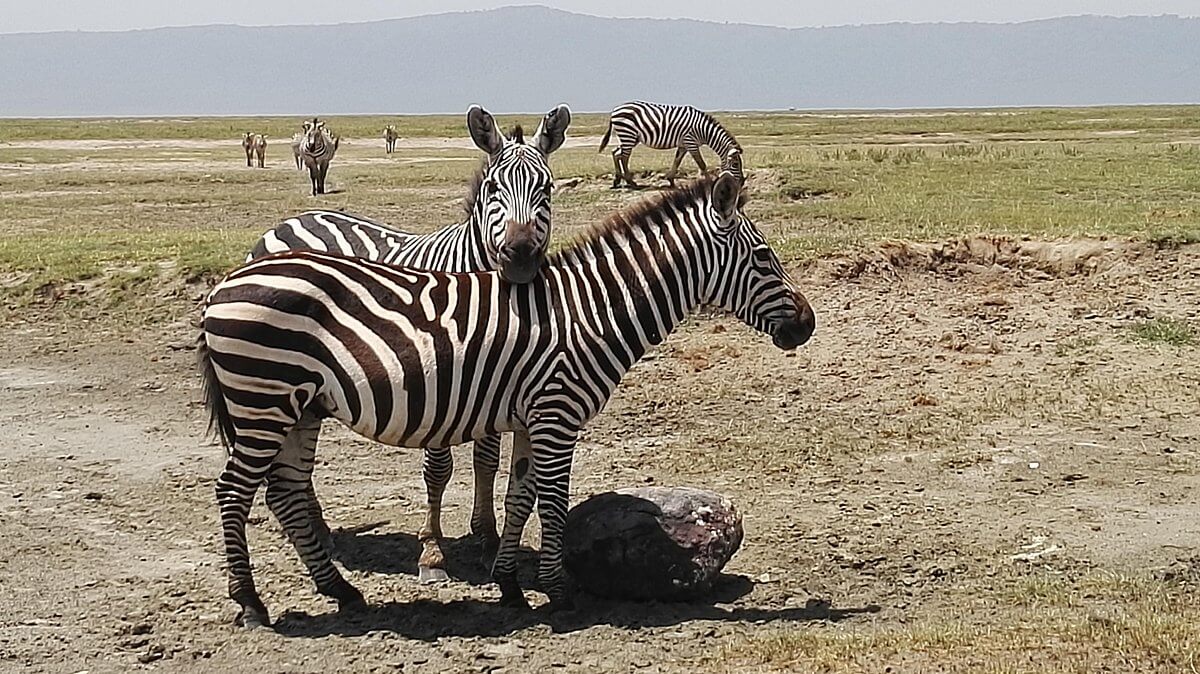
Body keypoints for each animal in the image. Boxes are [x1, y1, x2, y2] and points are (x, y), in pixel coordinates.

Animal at [198, 172, 815, 626]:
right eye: (764, 257)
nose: (807, 325)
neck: (588, 312)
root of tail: (230, 279)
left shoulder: (528, 419)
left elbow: (520, 498)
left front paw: (511, 585)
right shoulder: (558, 416)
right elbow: (554, 504)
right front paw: (558, 593)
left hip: (298, 405)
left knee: (286, 492)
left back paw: (340, 590)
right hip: (263, 399)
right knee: (234, 491)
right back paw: (251, 604)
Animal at [245, 104, 572, 583]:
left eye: (546, 188)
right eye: (493, 187)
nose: (522, 256)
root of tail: (293, 220)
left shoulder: (497, 385)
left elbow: (486, 461)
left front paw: (486, 538)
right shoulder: (441, 384)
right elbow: (438, 469)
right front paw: (432, 551)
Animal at [599, 101, 744, 189]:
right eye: (736, 164)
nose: (742, 183)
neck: (704, 131)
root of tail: (615, 110)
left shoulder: (684, 144)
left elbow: (677, 161)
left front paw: (671, 180)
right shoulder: (691, 142)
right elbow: (701, 164)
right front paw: (709, 182)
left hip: (631, 137)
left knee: (616, 152)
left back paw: (617, 180)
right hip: (628, 134)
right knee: (624, 157)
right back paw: (631, 182)